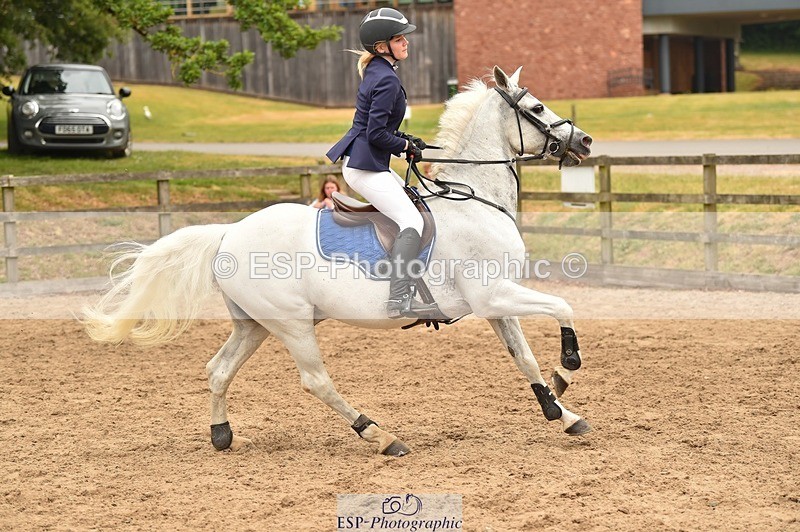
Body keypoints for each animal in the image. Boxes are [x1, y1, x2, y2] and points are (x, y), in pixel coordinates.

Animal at [84, 65, 594, 456]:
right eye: (537, 109)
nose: (585, 141)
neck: (475, 199)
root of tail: (229, 232)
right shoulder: (493, 294)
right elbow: (563, 309)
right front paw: (566, 370)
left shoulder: (494, 303)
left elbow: (525, 358)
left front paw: (561, 411)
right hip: (291, 324)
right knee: (315, 381)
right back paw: (381, 436)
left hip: (255, 324)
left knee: (219, 369)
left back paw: (222, 436)